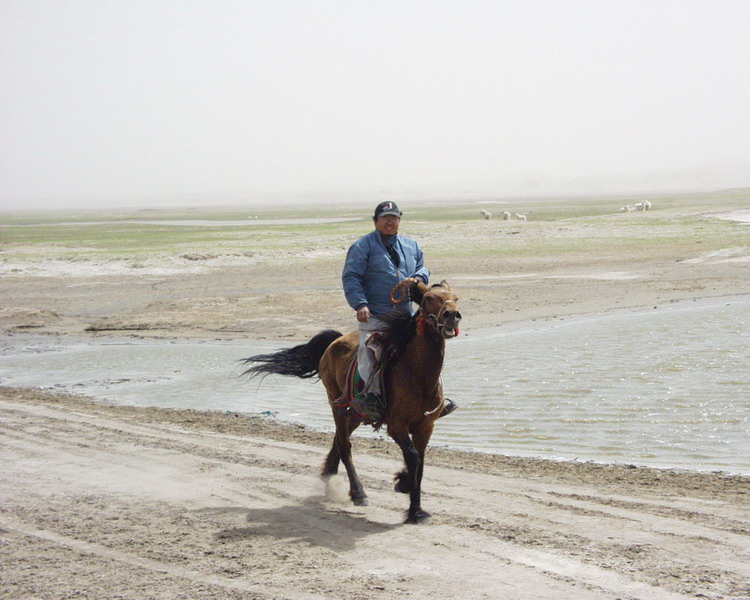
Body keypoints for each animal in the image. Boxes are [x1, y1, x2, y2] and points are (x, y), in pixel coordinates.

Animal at [244, 278, 462, 524]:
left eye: (455, 298)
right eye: (427, 299)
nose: (452, 315)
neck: (417, 375)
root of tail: (334, 341)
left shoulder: (426, 426)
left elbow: (421, 463)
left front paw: (414, 505)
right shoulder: (397, 426)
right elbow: (413, 458)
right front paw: (406, 490)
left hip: (355, 414)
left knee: (339, 440)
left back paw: (329, 473)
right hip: (336, 405)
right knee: (344, 445)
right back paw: (358, 493)